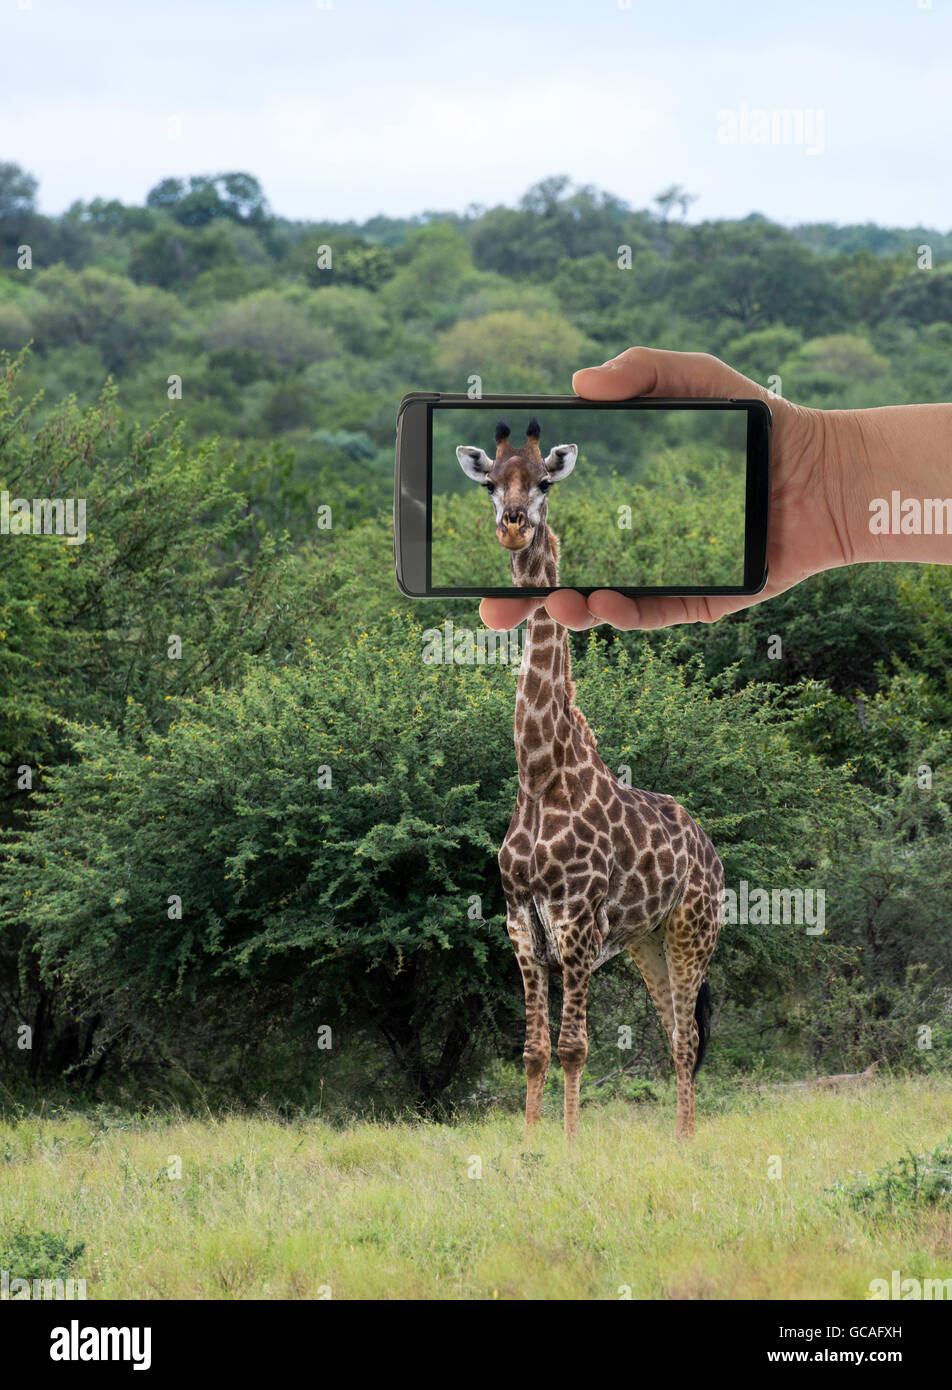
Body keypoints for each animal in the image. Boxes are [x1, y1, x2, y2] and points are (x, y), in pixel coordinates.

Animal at [455, 414, 722, 1139]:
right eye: (491, 482)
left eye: (545, 482)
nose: (514, 527)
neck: (541, 773)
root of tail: (709, 846)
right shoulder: (520, 922)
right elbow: (533, 1050)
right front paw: (529, 1144)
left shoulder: (576, 920)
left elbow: (573, 1047)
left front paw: (571, 1146)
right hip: (646, 942)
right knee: (675, 1032)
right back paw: (679, 1141)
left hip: (693, 929)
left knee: (688, 1038)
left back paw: (687, 1142)